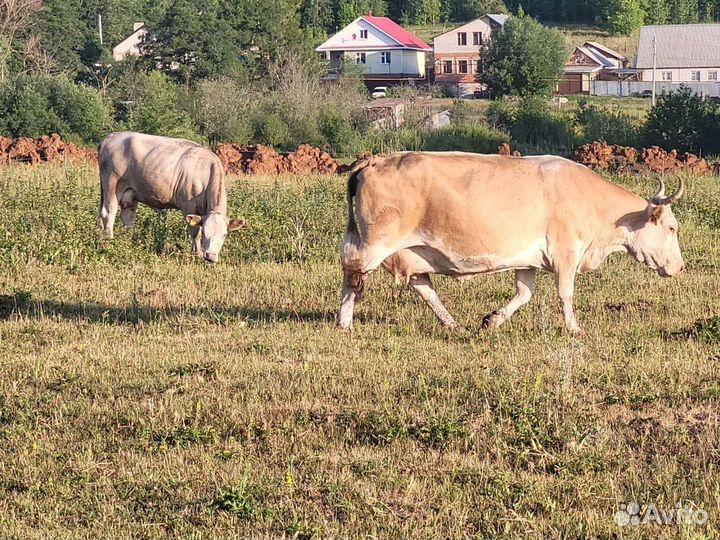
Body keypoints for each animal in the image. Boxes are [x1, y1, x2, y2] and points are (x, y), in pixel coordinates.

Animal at [98, 132, 245, 263]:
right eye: (205, 232)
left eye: (224, 234)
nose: (210, 256)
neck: (206, 171)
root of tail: (111, 136)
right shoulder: (188, 206)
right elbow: (194, 233)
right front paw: (196, 255)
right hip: (112, 185)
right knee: (108, 214)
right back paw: (109, 242)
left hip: (130, 193)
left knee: (127, 218)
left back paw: (129, 242)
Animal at [338, 152, 685, 333]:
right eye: (672, 227)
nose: (680, 267)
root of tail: (373, 161)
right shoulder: (565, 253)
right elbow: (565, 293)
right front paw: (573, 328)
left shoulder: (528, 260)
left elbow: (524, 293)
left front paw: (493, 319)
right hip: (375, 245)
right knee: (352, 273)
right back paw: (345, 322)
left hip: (413, 251)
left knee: (423, 287)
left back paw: (453, 324)